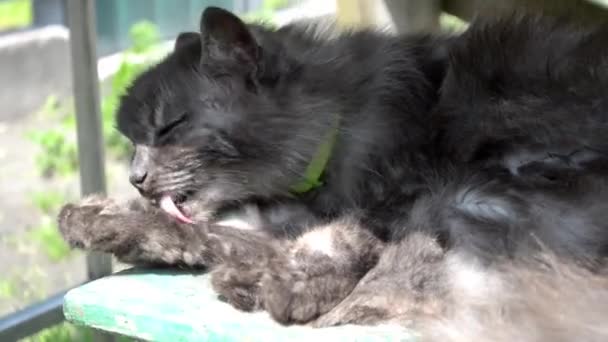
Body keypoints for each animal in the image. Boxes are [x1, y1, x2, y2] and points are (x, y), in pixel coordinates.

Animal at [58, 6, 608, 340]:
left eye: (170, 126)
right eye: (132, 141)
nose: (135, 177)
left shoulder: (395, 203)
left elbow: (343, 245)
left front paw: (288, 284)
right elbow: (204, 231)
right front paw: (98, 219)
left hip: (472, 195)